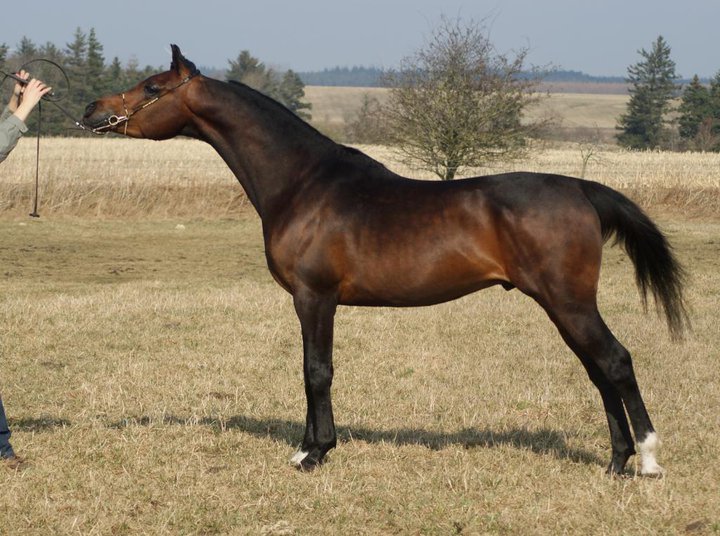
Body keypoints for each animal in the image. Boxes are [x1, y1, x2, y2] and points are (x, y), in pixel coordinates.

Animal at [82, 45, 688, 476]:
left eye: (152, 86)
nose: (91, 110)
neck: (304, 184)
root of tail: (581, 189)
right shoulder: (311, 301)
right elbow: (310, 370)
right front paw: (307, 447)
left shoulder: (315, 297)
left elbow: (317, 371)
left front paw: (315, 453)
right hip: (564, 306)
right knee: (598, 369)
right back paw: (615, 461)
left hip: (568, 301)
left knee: (615, 362)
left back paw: (648, 459)